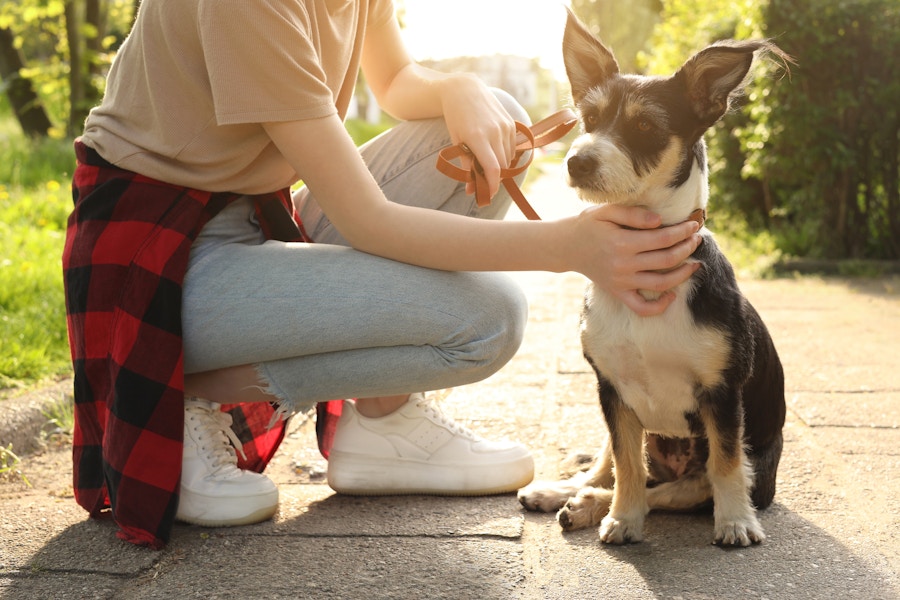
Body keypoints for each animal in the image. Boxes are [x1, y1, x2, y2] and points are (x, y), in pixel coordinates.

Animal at [516, 11, 792, 548]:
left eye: (645, 126)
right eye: (589, 120)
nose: (577, 160)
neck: (646, 269)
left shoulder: (723, 395)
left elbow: (724, 466)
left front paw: (735, 521)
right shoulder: (612, 389)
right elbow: (625, 464)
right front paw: (622, 517)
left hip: (753, 466)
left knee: (678, 489)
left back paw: (587, 505)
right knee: (613, 467)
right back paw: (564, 494)